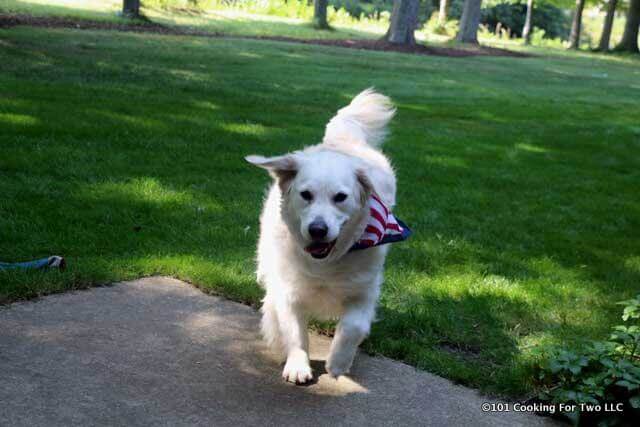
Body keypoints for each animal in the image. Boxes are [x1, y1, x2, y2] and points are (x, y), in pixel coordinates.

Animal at [245, 89, 410, 384]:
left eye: (340, 197)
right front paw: (297, 365)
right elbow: (295, 332)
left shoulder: (365, 290)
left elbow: (353, 326)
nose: (317, 229)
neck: (326, 263)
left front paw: (338, 362)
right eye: (306, 195)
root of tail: (340, 142)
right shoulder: (290, 290)